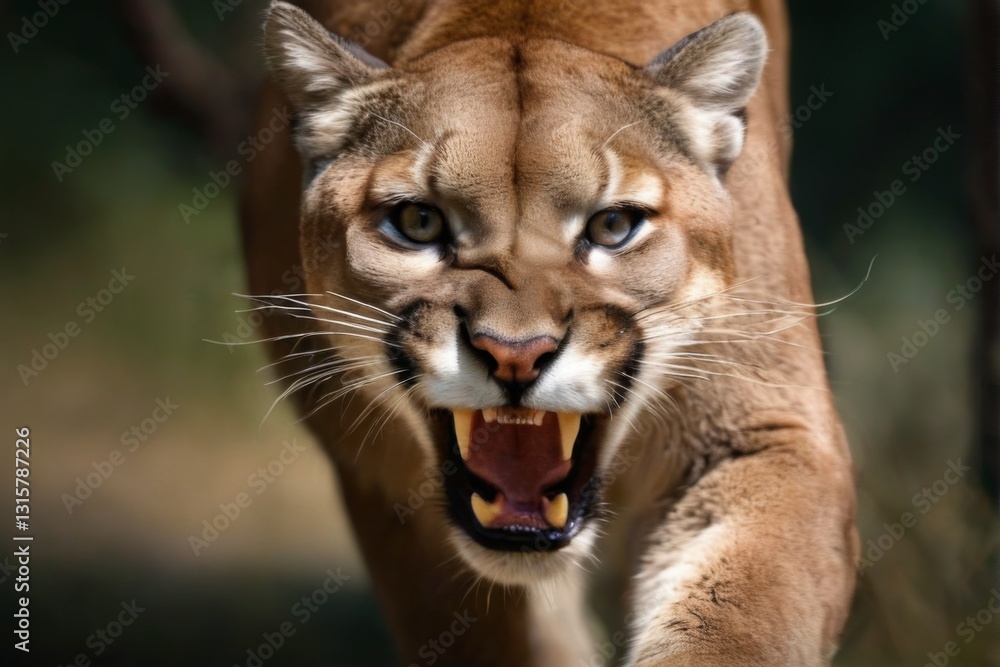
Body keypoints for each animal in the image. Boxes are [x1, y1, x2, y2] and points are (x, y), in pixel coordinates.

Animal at [239, 1, 858, 664]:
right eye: (418, 221)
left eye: (613, 226)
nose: (515, 355)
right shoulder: (384, 490)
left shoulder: (764, 431)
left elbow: (731, 624)